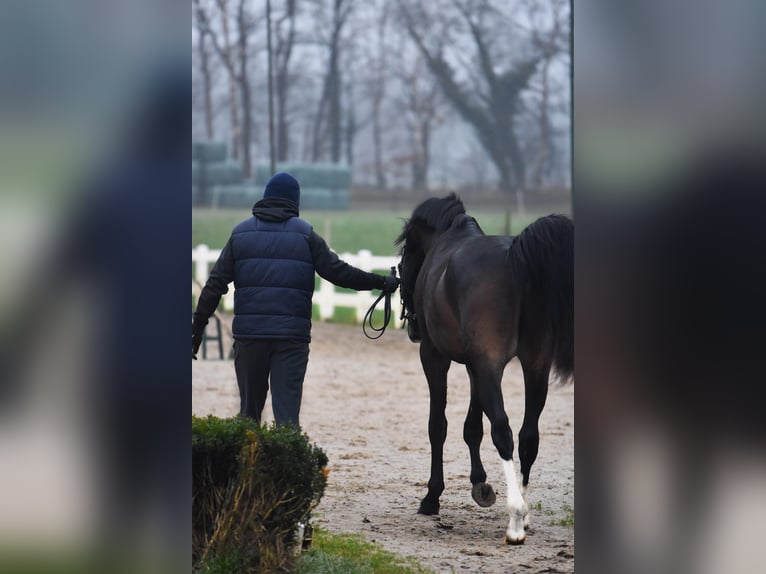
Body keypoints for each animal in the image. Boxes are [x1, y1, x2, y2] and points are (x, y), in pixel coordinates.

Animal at [400, 194, 572, 544]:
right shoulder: (476, 366)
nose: (412, 327)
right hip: (534, 367)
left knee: (503, 432)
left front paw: (431, 497)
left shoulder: (436, 357)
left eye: (406, 252)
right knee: (528, 436)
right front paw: (480, 484)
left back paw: (516, 520)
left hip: (490, 367)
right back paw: (525, 512)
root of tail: (515, 259)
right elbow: (472, 427)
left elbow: (438, 425)